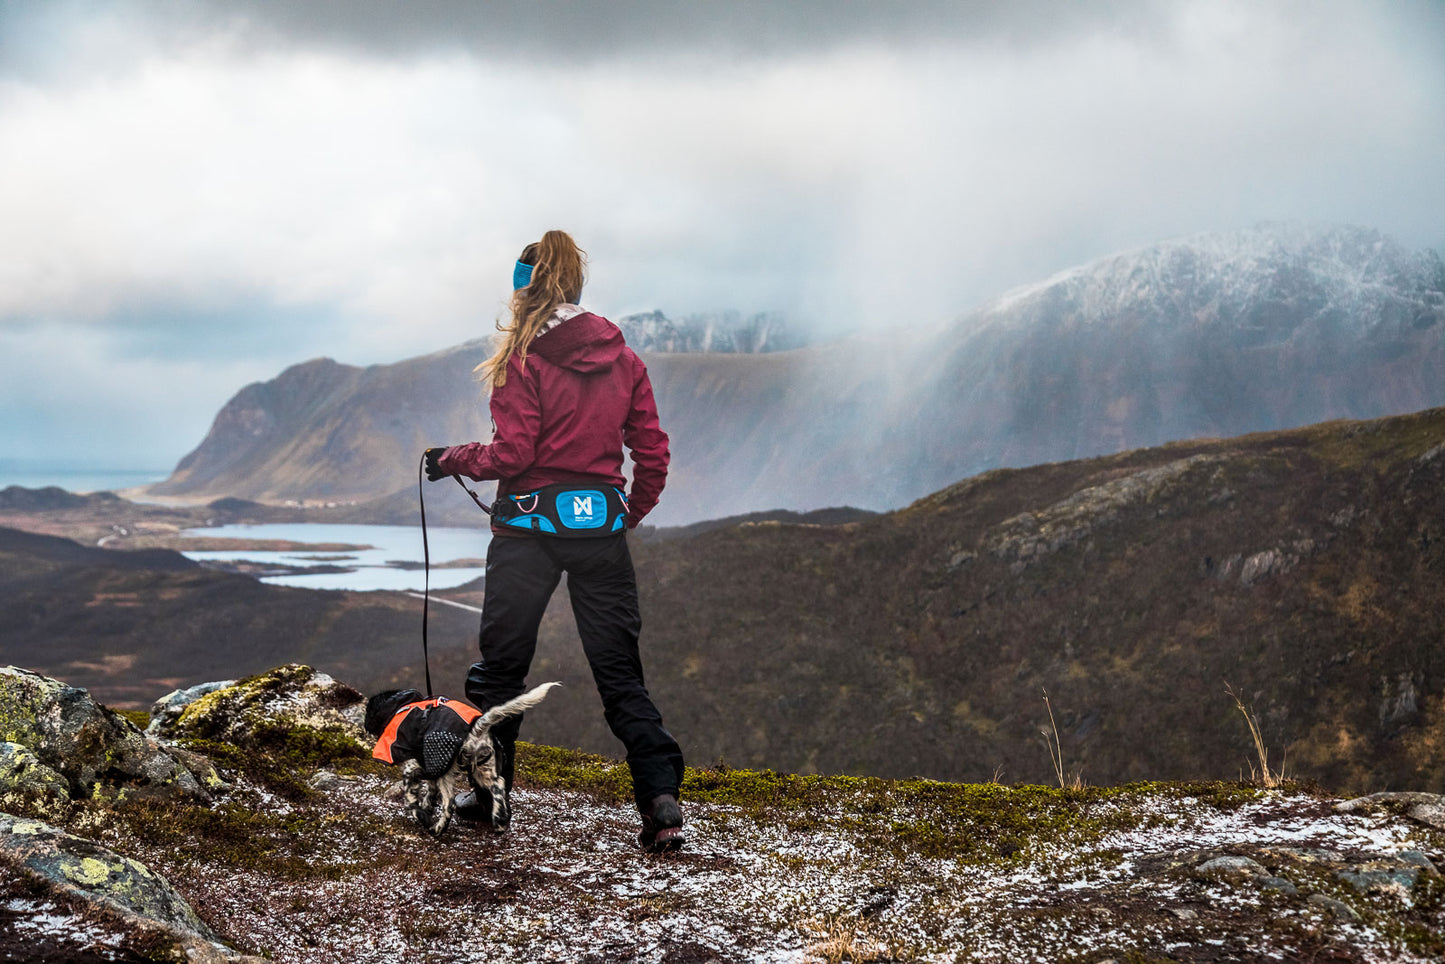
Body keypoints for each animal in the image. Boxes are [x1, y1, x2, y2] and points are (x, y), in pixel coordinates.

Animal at [367, 679, 557, 838]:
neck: (400, 706)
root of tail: (475, 731)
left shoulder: (412, 765)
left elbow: (411, 799)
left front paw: (422, 816)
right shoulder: (430, 766)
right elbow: (429, 792)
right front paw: (427, 808)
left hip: (449, 772)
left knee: (449, 803)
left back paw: (438, 829)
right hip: (482, 769)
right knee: (499, 785)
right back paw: (499, 820)